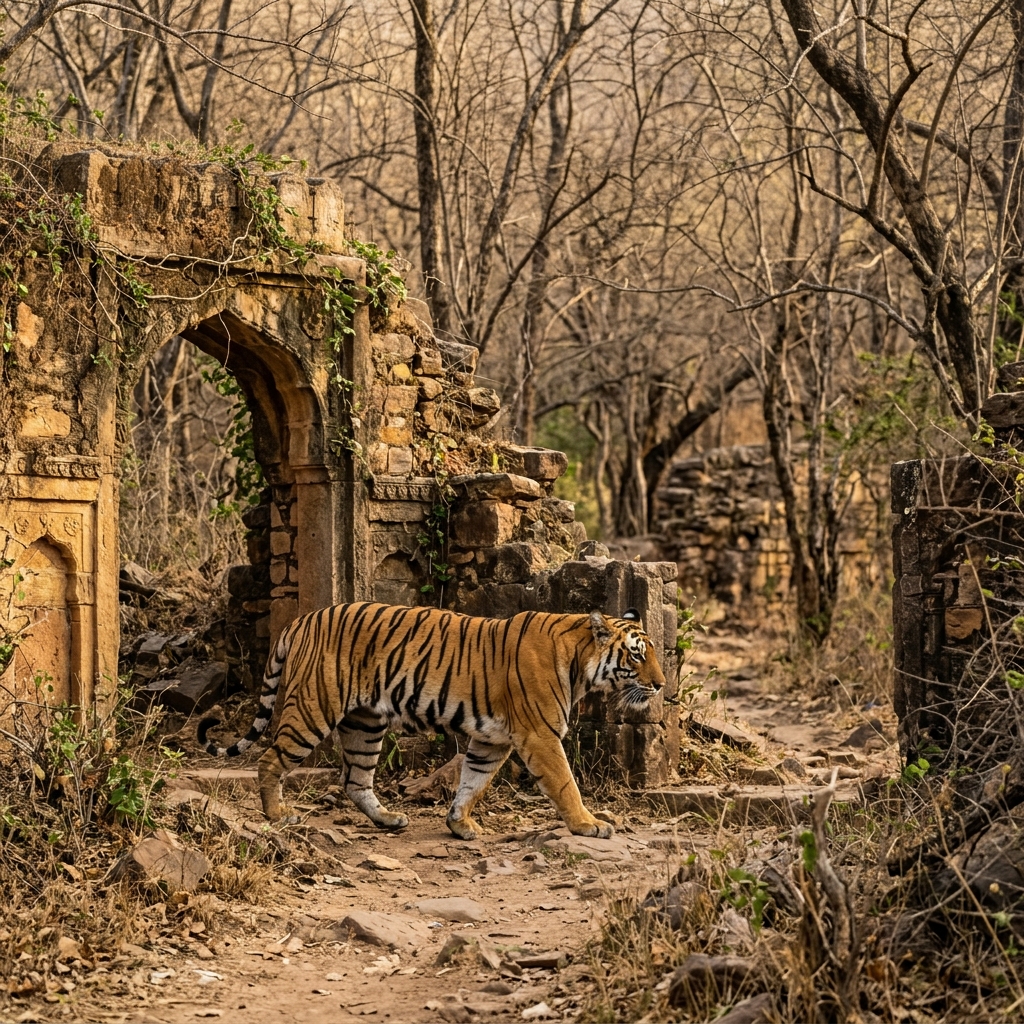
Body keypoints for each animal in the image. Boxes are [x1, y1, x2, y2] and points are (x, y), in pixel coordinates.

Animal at [198, 602, 665, 840]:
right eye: (637, 655)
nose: (661, 685)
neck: (580, 663)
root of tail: (300, 619)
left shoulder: (492, 741)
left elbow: (473, 782)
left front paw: (459, 824)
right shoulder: (540, 736)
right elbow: (566, 783)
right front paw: (589, 824)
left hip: (366, 723)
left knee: (355, 780)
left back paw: (389, 819)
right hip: (313, 709)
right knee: (270, 760)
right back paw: (278, 815)